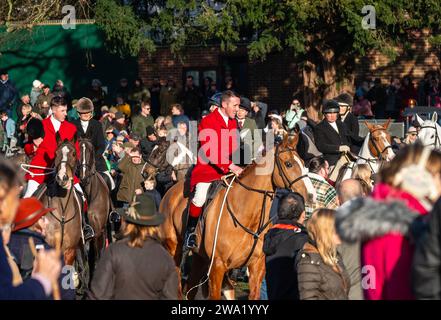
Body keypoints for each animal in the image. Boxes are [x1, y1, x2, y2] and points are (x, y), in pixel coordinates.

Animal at [158, 134, 312, 298]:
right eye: (288, 164)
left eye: (303, 163)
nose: (310, 195)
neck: (247, 215)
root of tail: (170, 191)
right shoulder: (217, 267)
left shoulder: (257, 266)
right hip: (173, 248)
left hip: (200, 257)